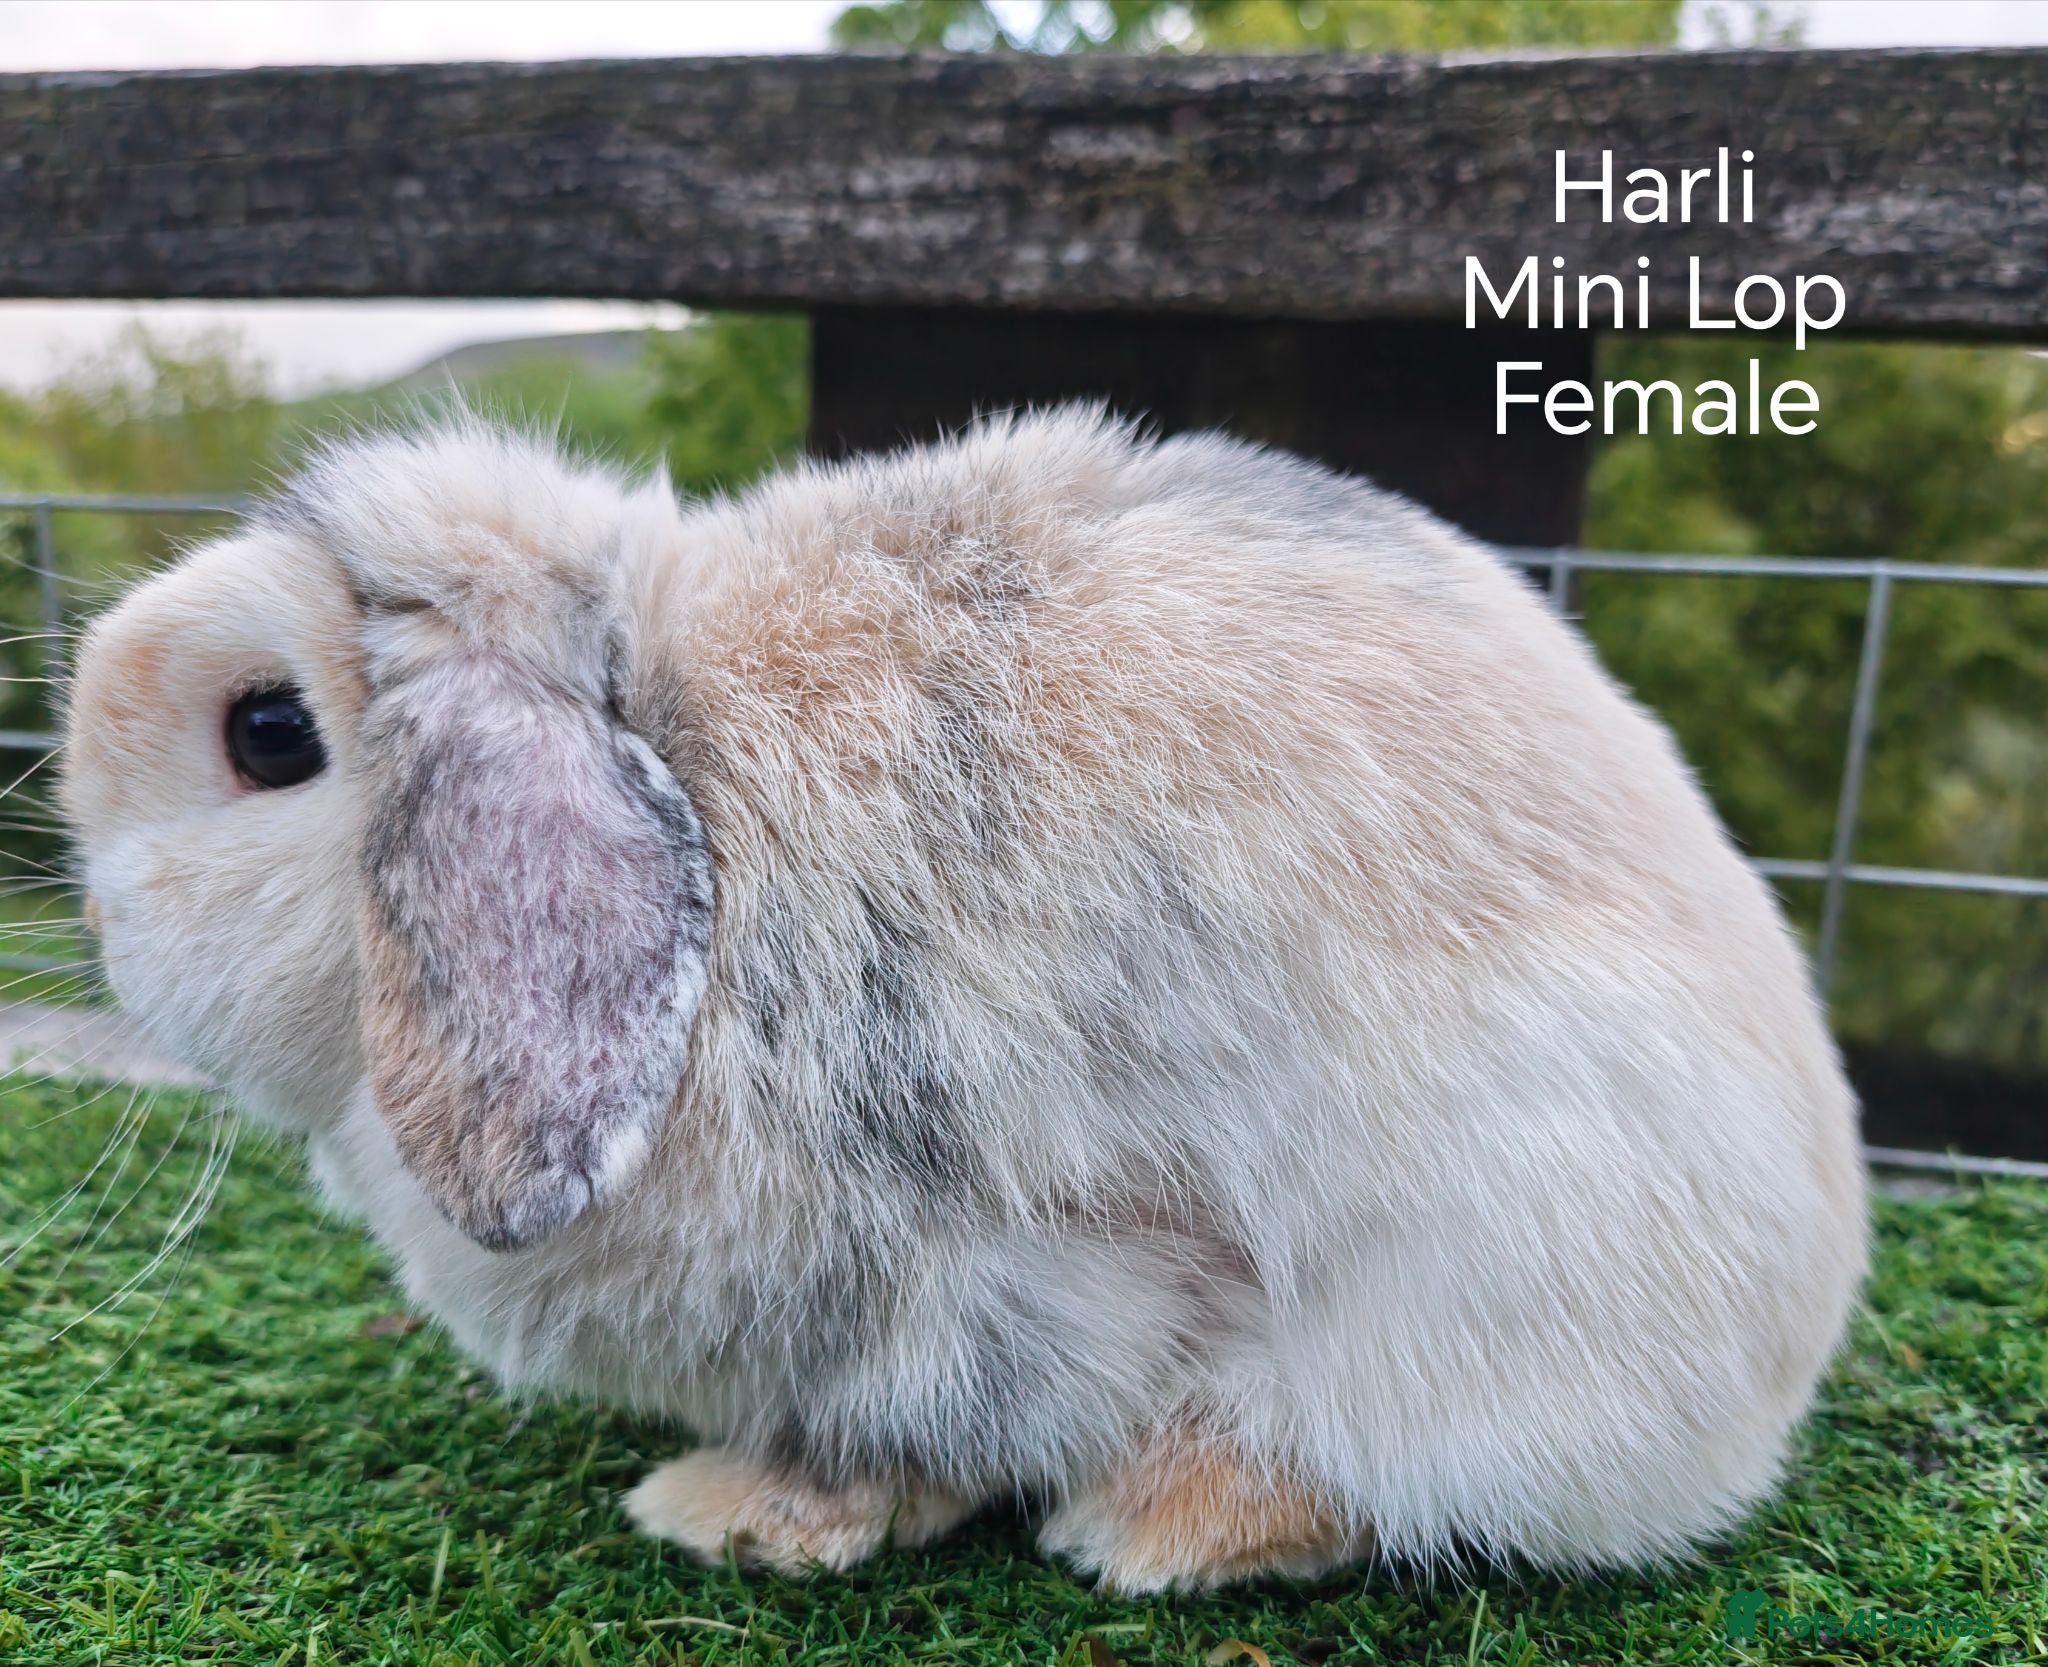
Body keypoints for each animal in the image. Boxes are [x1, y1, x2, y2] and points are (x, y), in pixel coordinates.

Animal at [58, 407, 1866, 1593]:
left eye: (268, 734)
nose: (104, 925)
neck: (686, 765)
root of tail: (1770, 1382)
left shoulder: (985, 1271)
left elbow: (919, 1421)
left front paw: (742, 1514)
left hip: (1475, 1269)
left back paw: (1159, 1524)